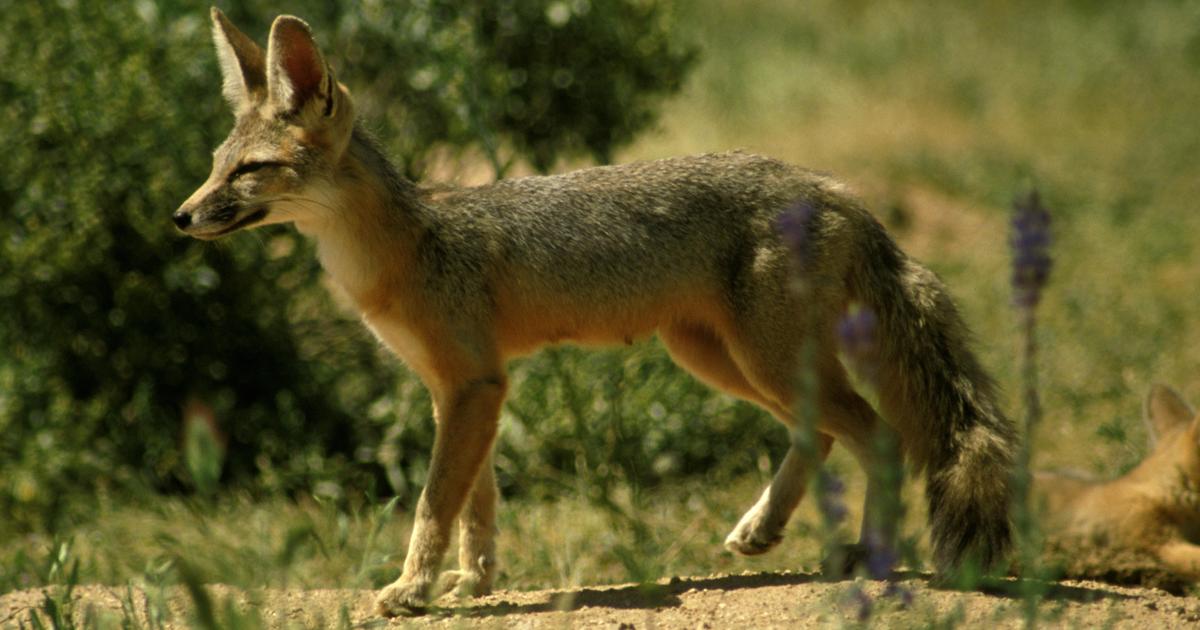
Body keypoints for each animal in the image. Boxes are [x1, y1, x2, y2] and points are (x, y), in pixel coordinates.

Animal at [175, 11, 1022, 614]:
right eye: (216, 166)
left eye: (251, 172)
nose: (181, 218)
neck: (404, 247)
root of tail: (834, 186)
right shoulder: (462, 389)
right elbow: (476, 504)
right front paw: (472, 583)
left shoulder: (473, 386)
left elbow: (433, 503)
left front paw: (411, 591)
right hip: (716, 358)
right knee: (817, 433)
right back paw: (762, 530)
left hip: (760, 361)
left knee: (877, 435)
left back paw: (869, 558)